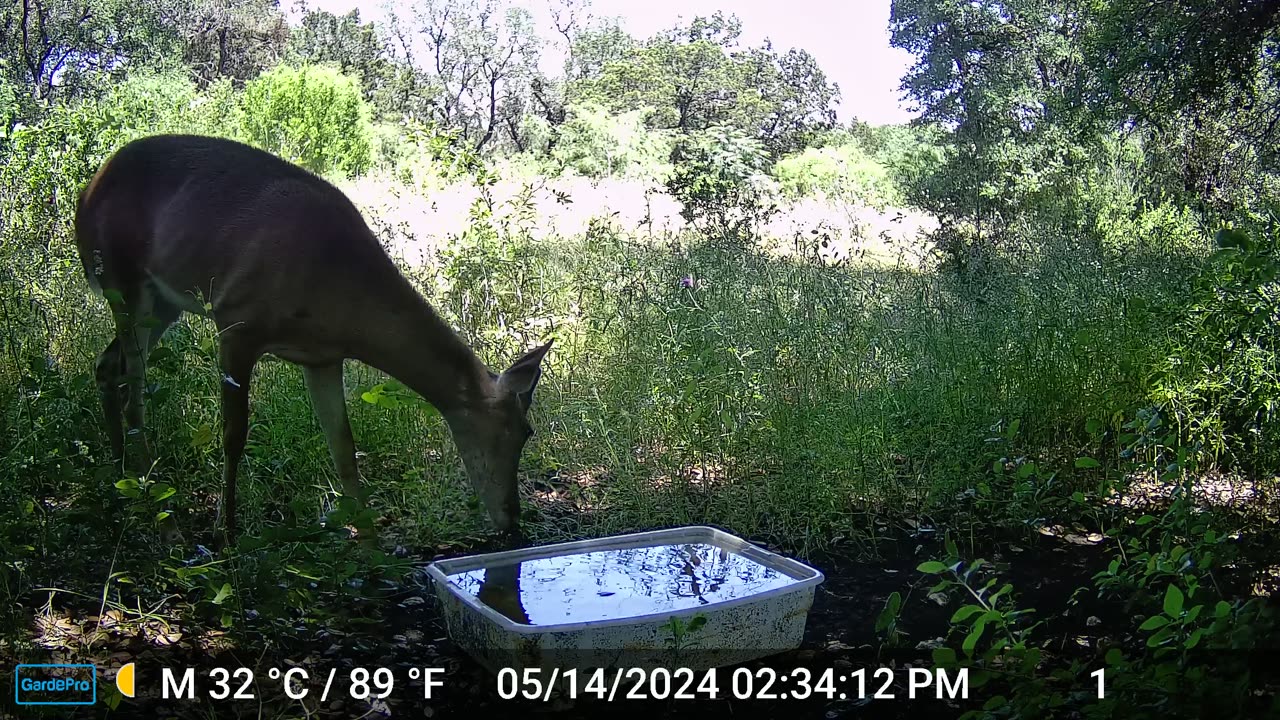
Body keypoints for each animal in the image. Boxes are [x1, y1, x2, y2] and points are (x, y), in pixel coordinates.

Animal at [73, 133, 555, 548]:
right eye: (524, 431)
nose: (513, 520)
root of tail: (87, 193)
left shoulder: (322, 357)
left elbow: (344, 448)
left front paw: (373, 548)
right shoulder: (236, 321)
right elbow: (234, 434)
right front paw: (227, 533)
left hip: (161, 304)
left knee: (107, 367)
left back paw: (122, 481)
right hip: (121, 280)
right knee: (133, 391)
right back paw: (162, 516)